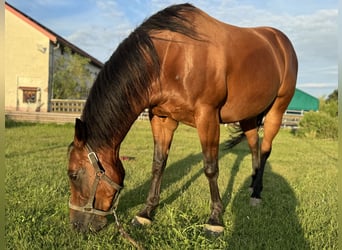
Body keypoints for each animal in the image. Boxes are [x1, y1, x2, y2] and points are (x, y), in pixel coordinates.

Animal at [66, 3, 296, 234]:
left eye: (73, 175)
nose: (77, 225)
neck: (171, 56)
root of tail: (280, 41)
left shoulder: (207, 116)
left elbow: (210, 168)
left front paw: (215, 219)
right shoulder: (161, 118)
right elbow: (158, 164)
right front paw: (146, 212)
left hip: (277, 110)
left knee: (265, 150)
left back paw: (257, 193)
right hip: (248, 115)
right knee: (254, 146)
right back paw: (251, 184)